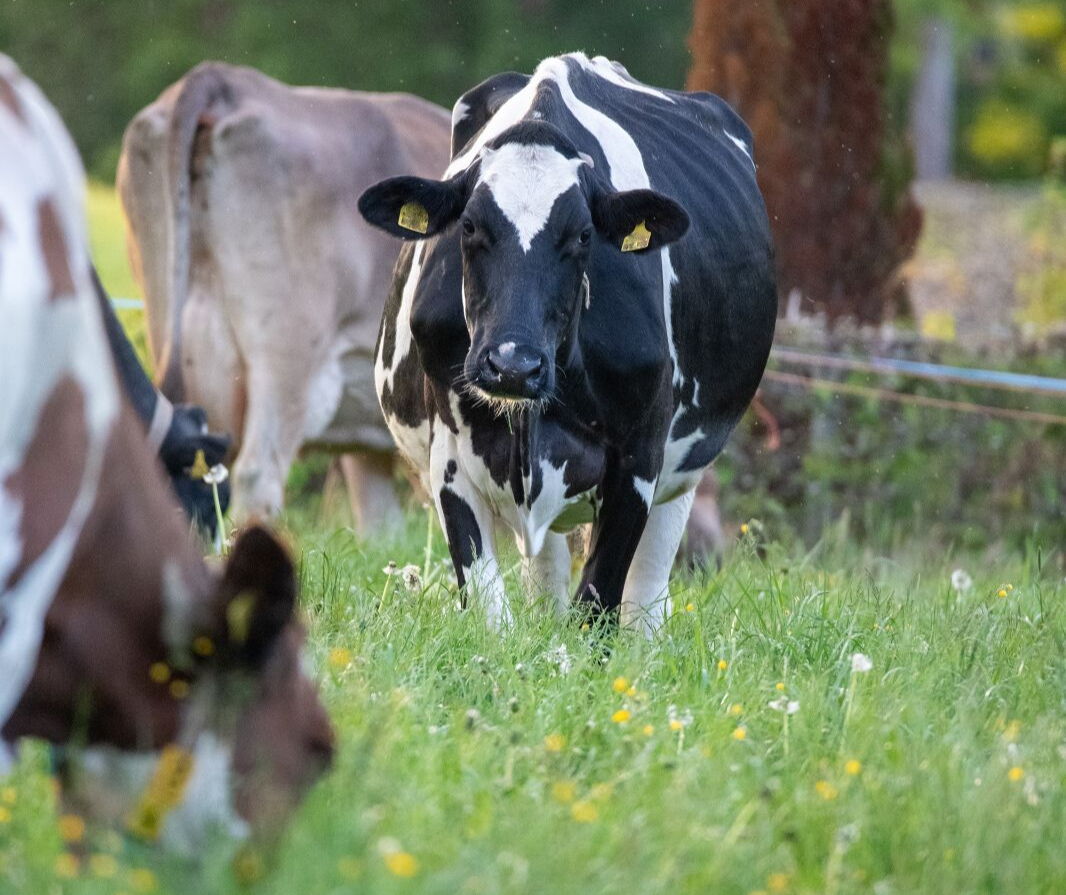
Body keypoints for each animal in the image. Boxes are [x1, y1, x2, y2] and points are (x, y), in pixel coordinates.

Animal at [358, 53, 777, 633]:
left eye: (582, 235)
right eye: (469, 227)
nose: (512, 365)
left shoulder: (639, 460)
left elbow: (598, 606)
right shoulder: (450, 456)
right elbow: (490, 612)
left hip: (685, 471)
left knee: (647, 590)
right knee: (547, 578)